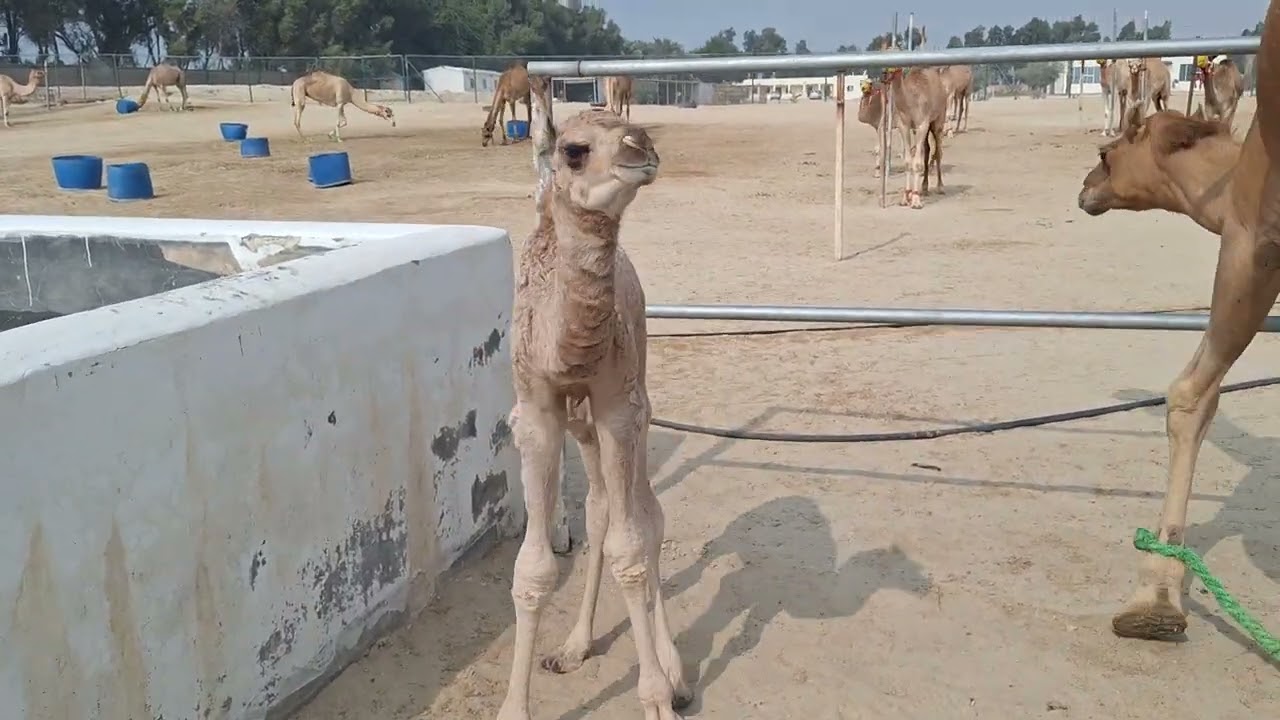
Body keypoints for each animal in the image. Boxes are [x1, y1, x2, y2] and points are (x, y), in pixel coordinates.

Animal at [496, 76, 690, 720]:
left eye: (634, 129)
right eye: (575, 150)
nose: (642, 148)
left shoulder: (619, 409)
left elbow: (632, 549)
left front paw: (656, 695)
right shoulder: (535, 413)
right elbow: (532, 569)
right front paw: (515, 706)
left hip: (640, 403)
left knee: (647, 516)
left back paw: (675, 670)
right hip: (582, 428)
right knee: (602, 509)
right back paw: (576, 645)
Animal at [882, 66, 947, 208]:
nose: (886, 72)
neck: (910, 102)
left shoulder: (922, 124)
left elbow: (916, 162)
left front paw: (916, 200)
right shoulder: (904, 126)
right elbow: (907, 161)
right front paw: (906, 197)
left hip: (938, 120)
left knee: (938, 151)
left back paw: (940, 187)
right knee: (927, 149)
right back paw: (924, 187)